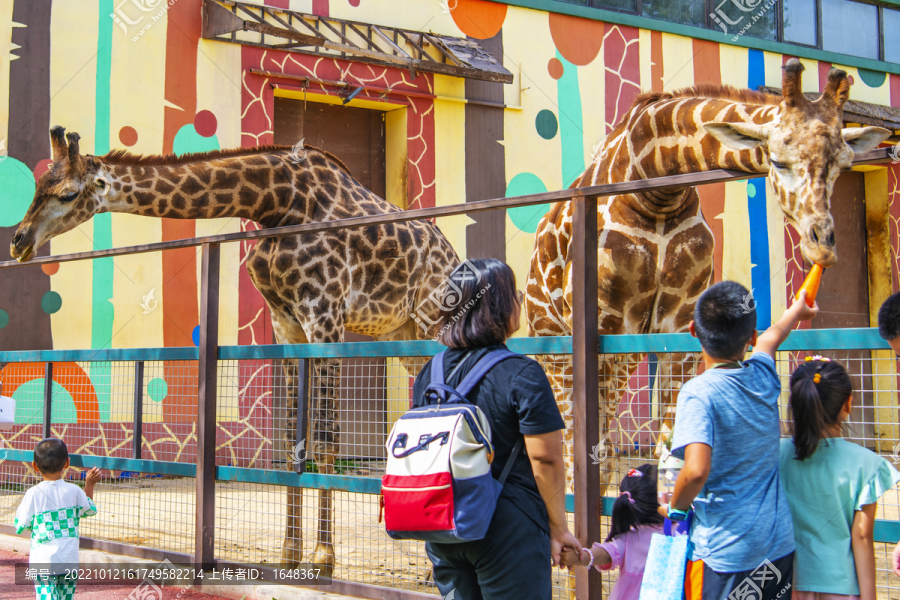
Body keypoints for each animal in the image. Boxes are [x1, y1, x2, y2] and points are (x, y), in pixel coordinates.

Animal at [12, 126, 464, 568]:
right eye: (38, 184)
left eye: (68, 193)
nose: (18, 241)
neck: (275, 201)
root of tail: (451, 254)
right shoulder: (287, 325)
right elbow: (290, 438)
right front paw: (289, 552)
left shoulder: (325, 316)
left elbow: (325, 437)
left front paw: (323, 556)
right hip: (404, 336)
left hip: (435, 324)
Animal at [524, 59, 888, 496]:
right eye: (778, 161)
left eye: (843, 165)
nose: (823, 246)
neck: (655, 189)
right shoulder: (600, 321)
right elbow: (590, 445)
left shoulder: (676, 326)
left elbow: (669, 445)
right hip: (553, 342)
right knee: (570, 438)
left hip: (623, 351)